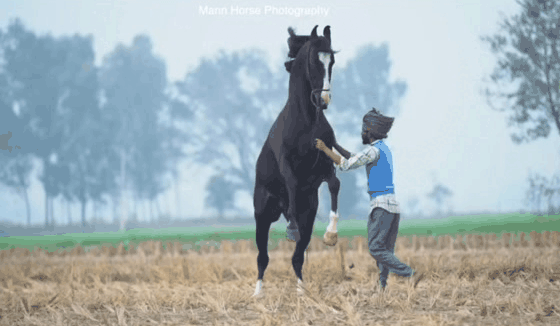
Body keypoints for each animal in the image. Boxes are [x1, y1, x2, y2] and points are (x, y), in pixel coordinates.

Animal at [254, 24, 350, 296]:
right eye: (314, 61)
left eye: (332, 61)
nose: (323, 100)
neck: (306, 123)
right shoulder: (287, 166)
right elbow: (293, 185)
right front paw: (291, 229)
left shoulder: (324, 165)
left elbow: (335, 184)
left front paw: (331, 235)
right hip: (262, 214)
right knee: (262, 257)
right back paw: (257, 293)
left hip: (310, 211)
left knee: (297, 256)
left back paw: (301, 293)